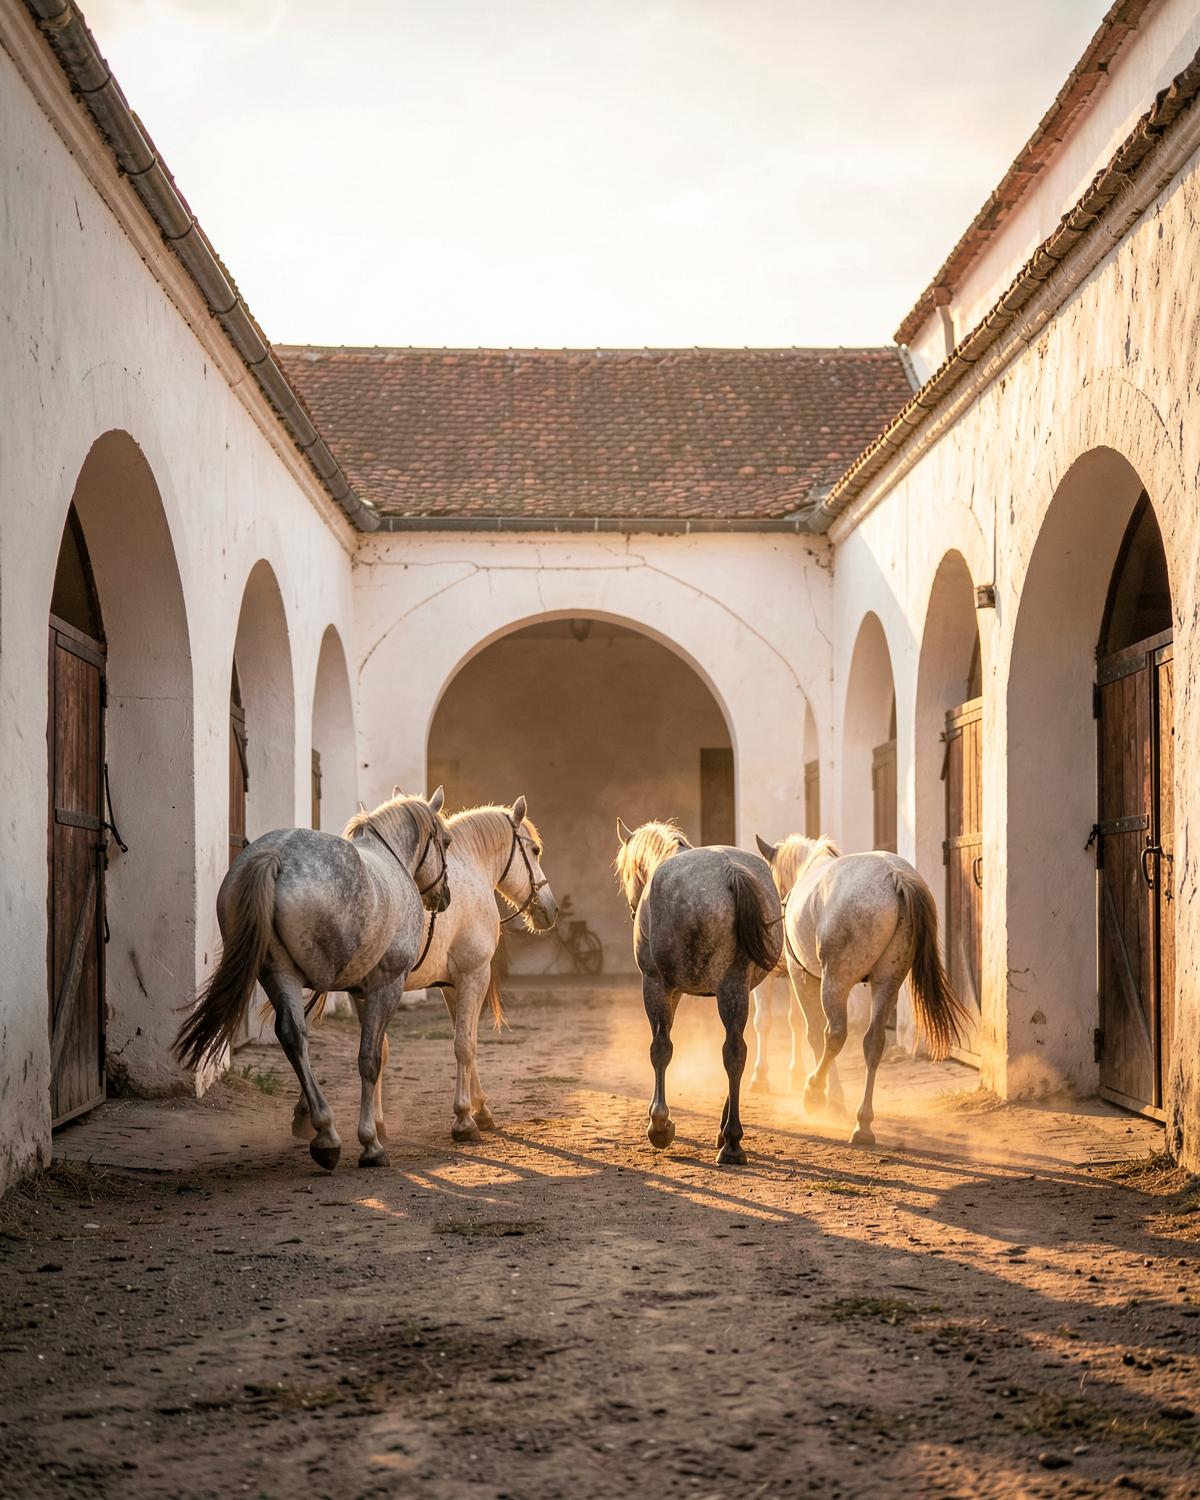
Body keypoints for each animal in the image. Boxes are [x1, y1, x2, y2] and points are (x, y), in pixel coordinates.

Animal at [174, 788, 453, 1171]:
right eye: (446, 840)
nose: (445, 896)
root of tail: (276, 855)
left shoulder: (358, 992)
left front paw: (306, 1115)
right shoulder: (386, 986)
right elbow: (370, 1059)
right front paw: (370, 1142)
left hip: (277, 973)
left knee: (293, 1036)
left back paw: (324, 1132)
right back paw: (330, 1133)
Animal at [301, 797, 558, 1145]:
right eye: (534, 850)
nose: (550, 909)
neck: (469, 866)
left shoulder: (446, 986)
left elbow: (452, 1041)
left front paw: (478, 1109)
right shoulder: (474, 975)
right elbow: (465, 1044)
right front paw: (464, 1117)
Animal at [614, 818, 783, 1165]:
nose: (633, 909)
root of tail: (731, 872)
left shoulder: (657, 984)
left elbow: (660, 1048)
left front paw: (660, 1124)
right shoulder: (679, 991)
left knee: (721, 1051)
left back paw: (727, 1141)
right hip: (736, 988)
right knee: (736, 1051)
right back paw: (730, 1139)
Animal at [752, 833, 969, 1147]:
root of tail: (895, 875)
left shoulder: (802, 974)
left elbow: (812, 1033)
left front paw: (827, 1097)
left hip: (836, 981)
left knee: (834, 1035)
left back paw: (815, 1093)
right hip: (888, 980)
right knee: (873, 1042)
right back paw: (863, 1123)